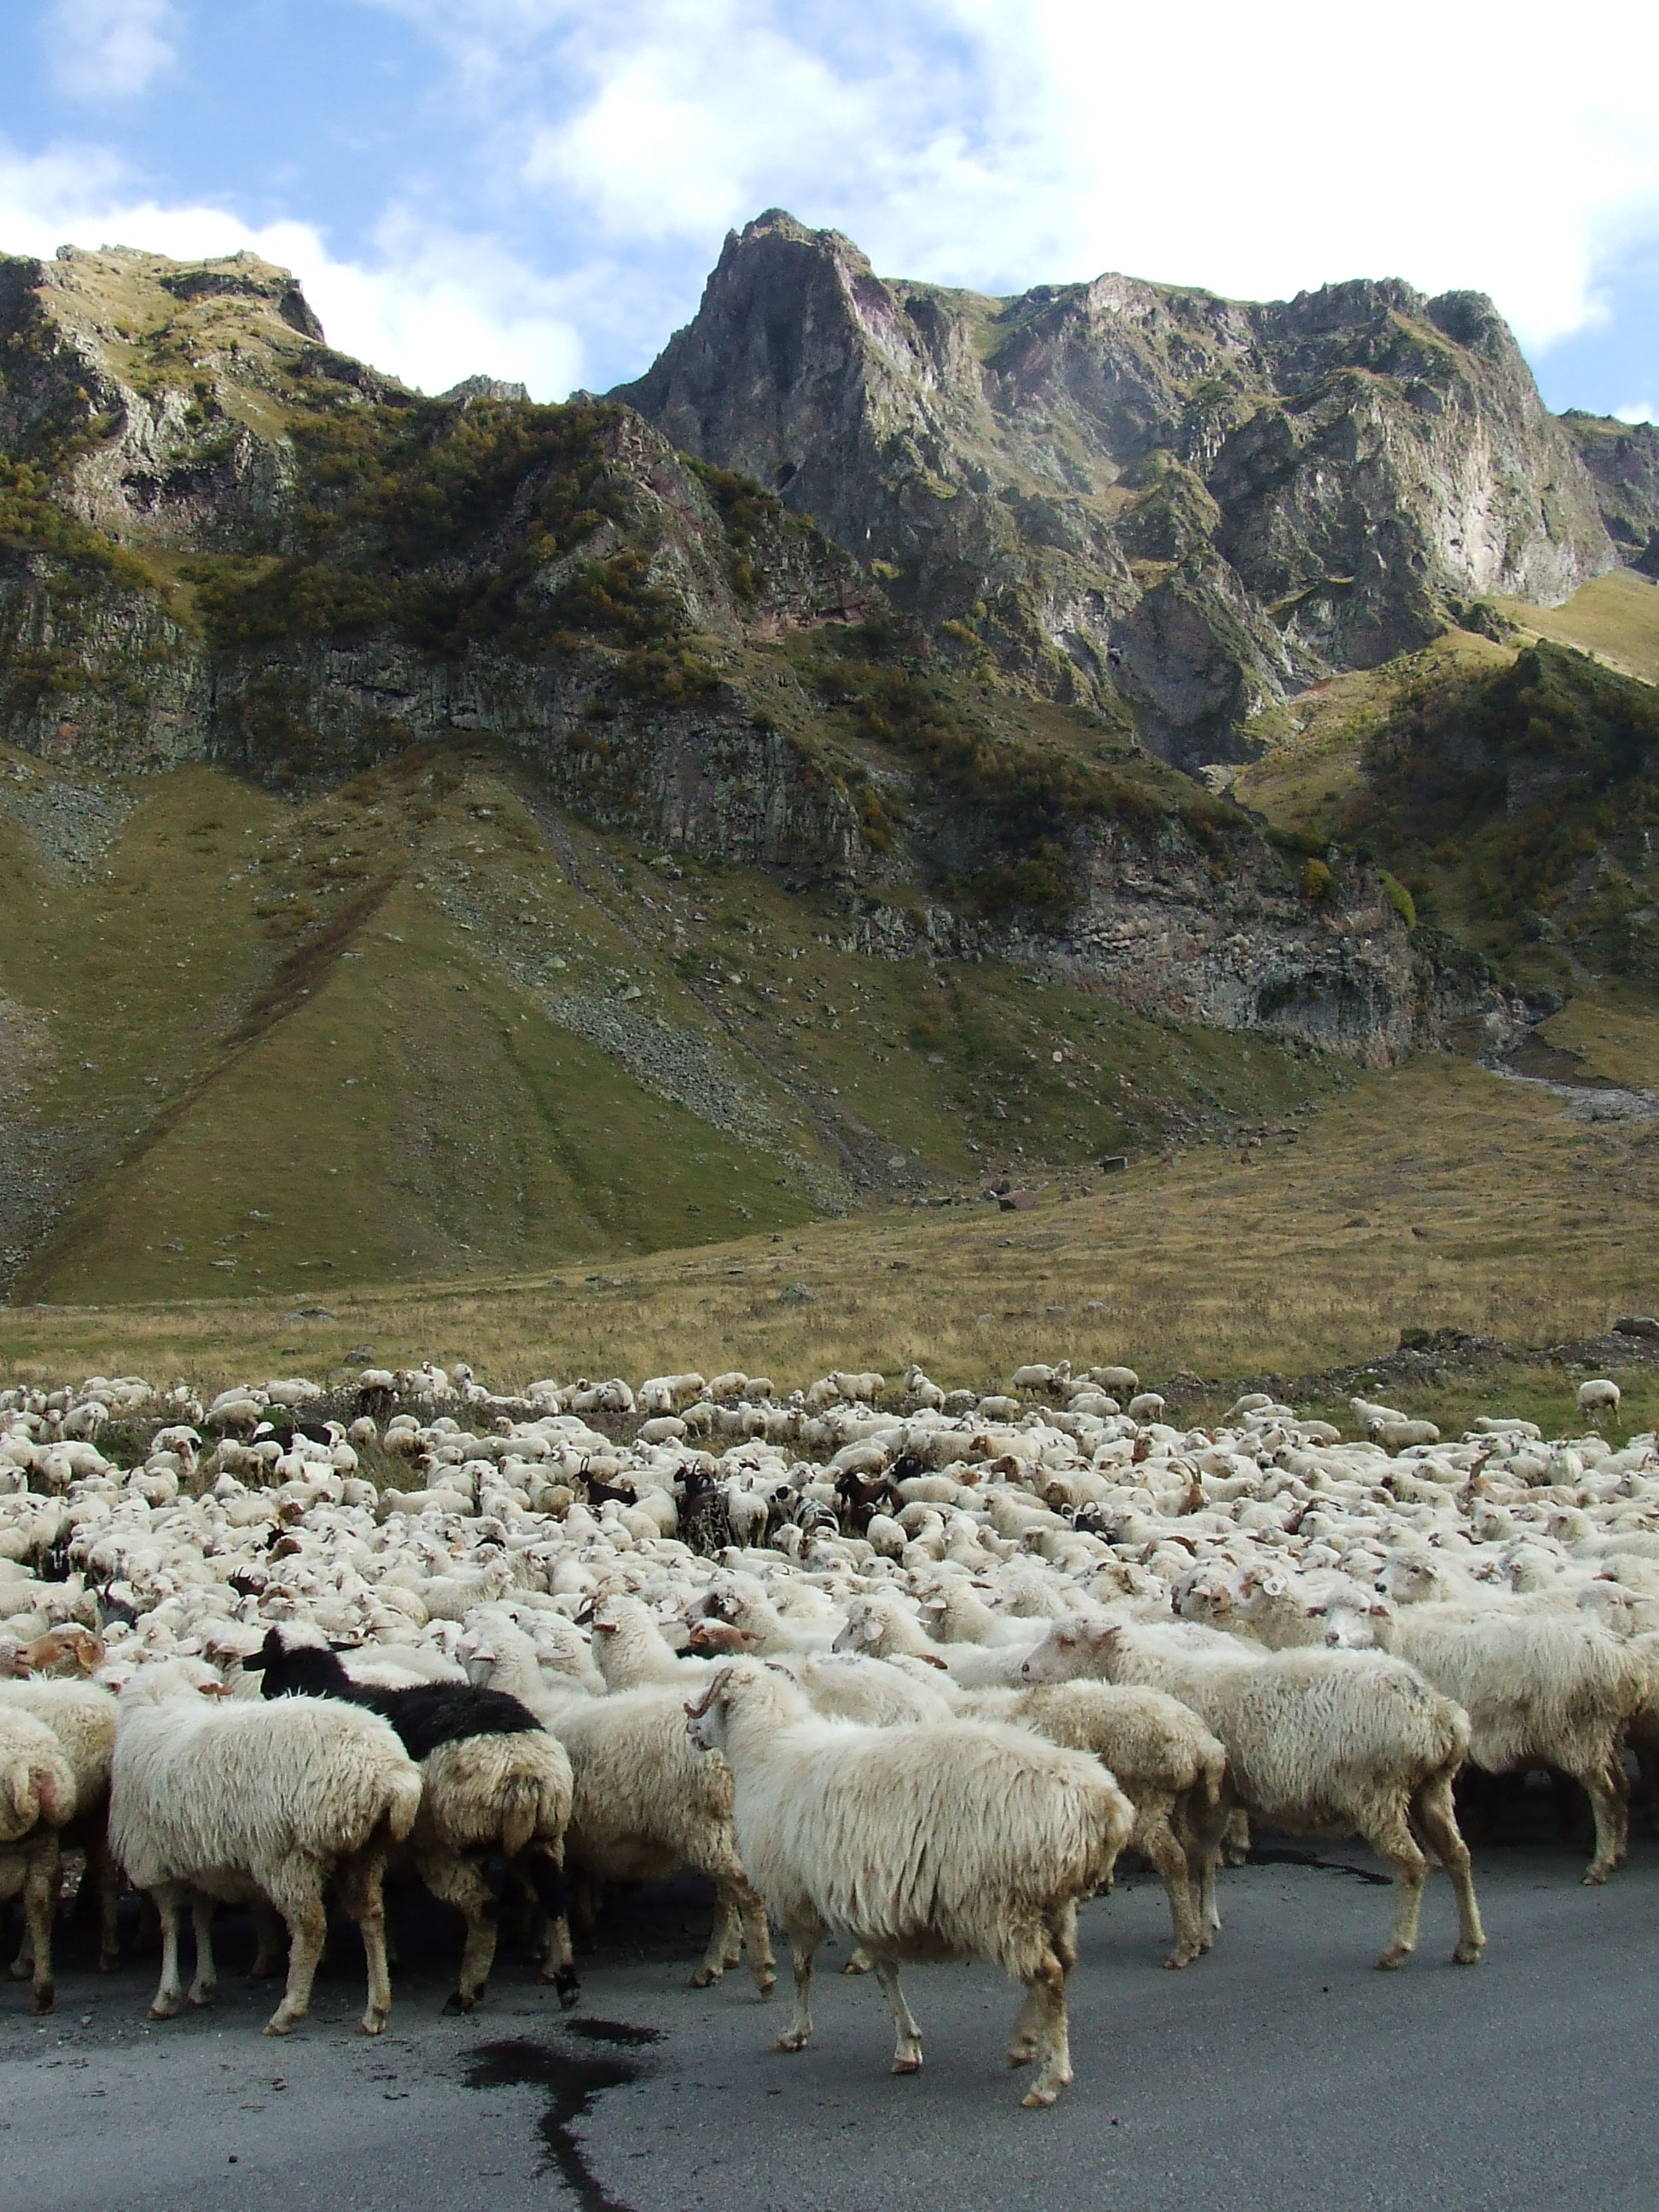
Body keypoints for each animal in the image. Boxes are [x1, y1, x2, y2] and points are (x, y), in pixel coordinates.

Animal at [110, 1662, 423, 2035]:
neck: (163, 1699)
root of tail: (389, 1773)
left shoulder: (155, 1860)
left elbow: (170, 1926)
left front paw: (166, 1996)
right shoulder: (201, 1858)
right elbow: (200, 1919)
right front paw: (203, 1985)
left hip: (289, 1855)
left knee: (311, 1927)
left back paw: (288, 2012)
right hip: (362, 1852)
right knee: (372, 1916)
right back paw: (376, 2008)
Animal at [685, 1659, 1135, 2106]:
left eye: (711, 1695)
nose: (689, 1725)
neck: (769, 1751)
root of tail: (1106, 1802)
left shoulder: (799, 1899)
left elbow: (802, 1970)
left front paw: (795, 2032)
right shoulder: (869, 1904)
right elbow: (886, 1975)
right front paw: (907, 2046)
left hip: (1001, 1904)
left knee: (1049, 1975)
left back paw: (1049, 2080)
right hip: (1052, 1901)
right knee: (1064, 1963)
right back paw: (1022, 2043)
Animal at [1022, 1619, 1486, 1971]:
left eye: (1067, 1641)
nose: (1025, 1669)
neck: (1157, 1675)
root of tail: (1438, 1712)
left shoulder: (1211, 1794)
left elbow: (1197, 1858)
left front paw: (1200, 1928)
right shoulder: (1213, 1795)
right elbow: (1202, 1858)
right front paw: (1203, 1923)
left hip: (1376, 1791)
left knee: (1412, 1865)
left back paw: (1396, 1949)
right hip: (1431, 1789)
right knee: (1458, 1855)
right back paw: (1469, 1943)